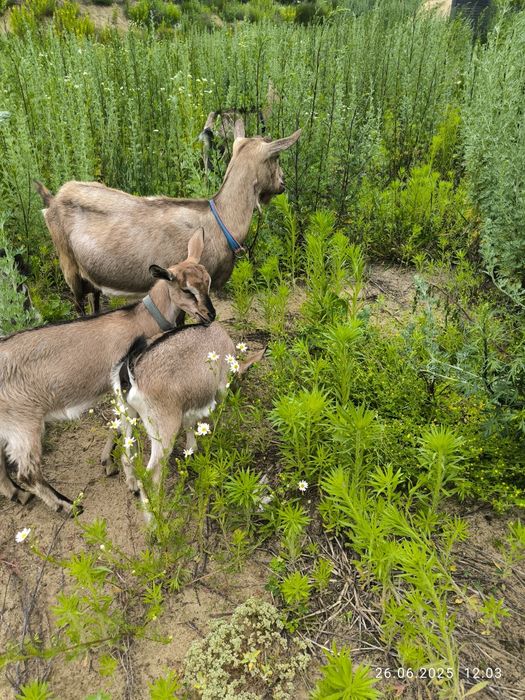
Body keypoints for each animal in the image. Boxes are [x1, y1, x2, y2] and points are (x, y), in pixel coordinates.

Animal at [0, 229, 215, 515]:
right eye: (186, 289)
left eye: (208, 282)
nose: (210, 315)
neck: (141, 318)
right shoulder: (122, 383)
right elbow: (123, 429)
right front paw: (129, 479)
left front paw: (108, 462)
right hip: (23, 423)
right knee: (27, 472)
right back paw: (67, 505)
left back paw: (16, 493)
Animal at [34, 119, 300, 315]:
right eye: (276, 158)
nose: (284, 182)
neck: (219, 220)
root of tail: (53, 200)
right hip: (69, 266)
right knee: (79, 305)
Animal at [106, 323, 264, 518]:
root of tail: (128, 374)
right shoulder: (220, 386)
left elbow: (189, 423)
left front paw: (192, 447)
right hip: (163, 427)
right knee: (151, 477)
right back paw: (156, 520)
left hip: (126, 411)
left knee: (126, 453)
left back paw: (132, 484)